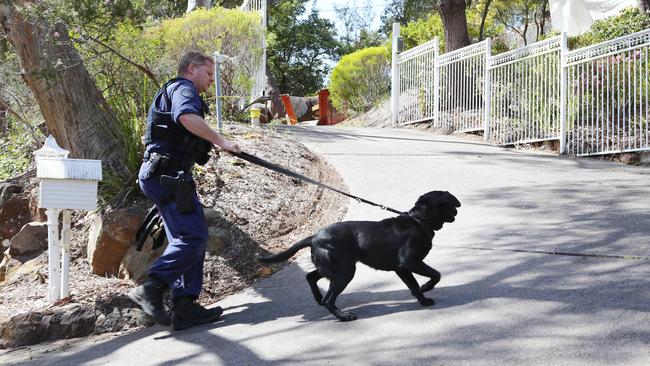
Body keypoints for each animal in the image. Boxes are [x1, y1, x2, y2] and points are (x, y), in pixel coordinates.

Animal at [256, 190, 458, 322]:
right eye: (449, 202)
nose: (457, 209)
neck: (419, 220)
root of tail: (313, 237)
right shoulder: (409, 263)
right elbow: (436, 275)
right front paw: (427, 287)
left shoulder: (401, 269)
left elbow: (414, 286)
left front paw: (423, 300)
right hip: (344, 271)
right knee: (328, 298)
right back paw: (344, 316)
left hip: (334, 267)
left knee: (310, 276)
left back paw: (318, 299)